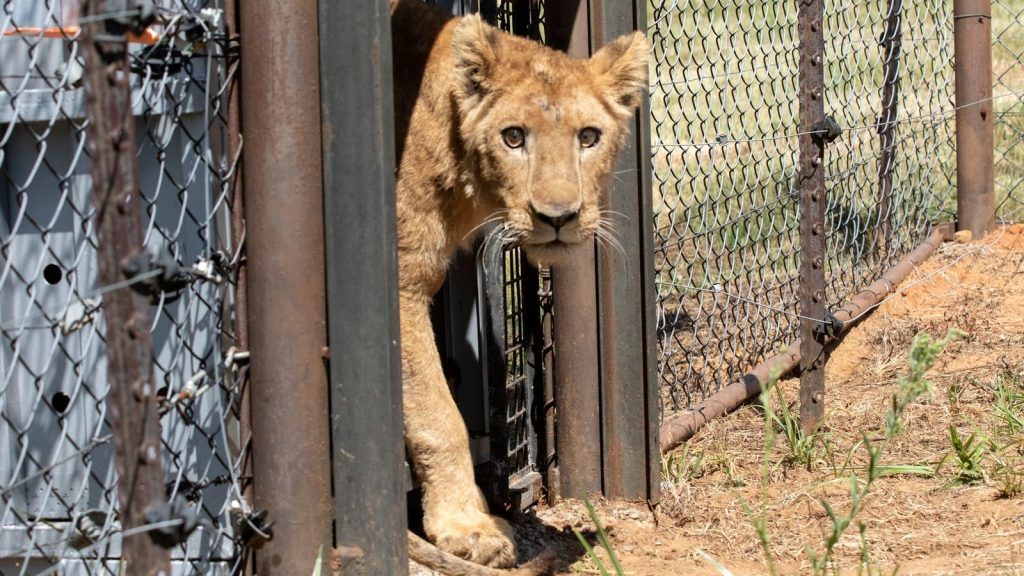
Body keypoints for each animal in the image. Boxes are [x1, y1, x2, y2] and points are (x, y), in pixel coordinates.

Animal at [387, 0, 648, 571]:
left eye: (588, 137)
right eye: (513, 137)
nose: (558, 217)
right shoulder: (400, 281)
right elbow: (440, 415)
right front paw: (466, 526)